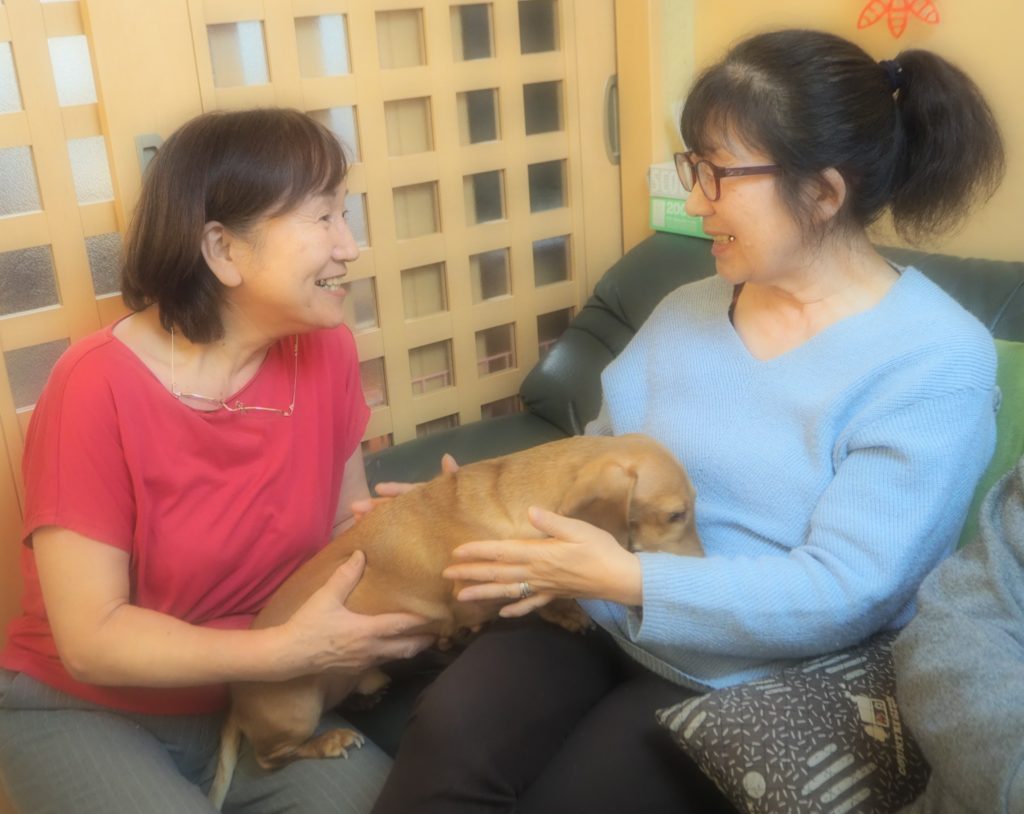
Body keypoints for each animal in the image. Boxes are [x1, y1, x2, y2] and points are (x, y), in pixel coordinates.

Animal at [208, 433, 701, 808]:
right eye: (676, 514)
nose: (703, 567)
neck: (511, 499)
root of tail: (236, 703)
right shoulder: (474, 596)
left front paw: (565, 610)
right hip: (297, 712)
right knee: (273, 757)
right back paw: (328, 741)